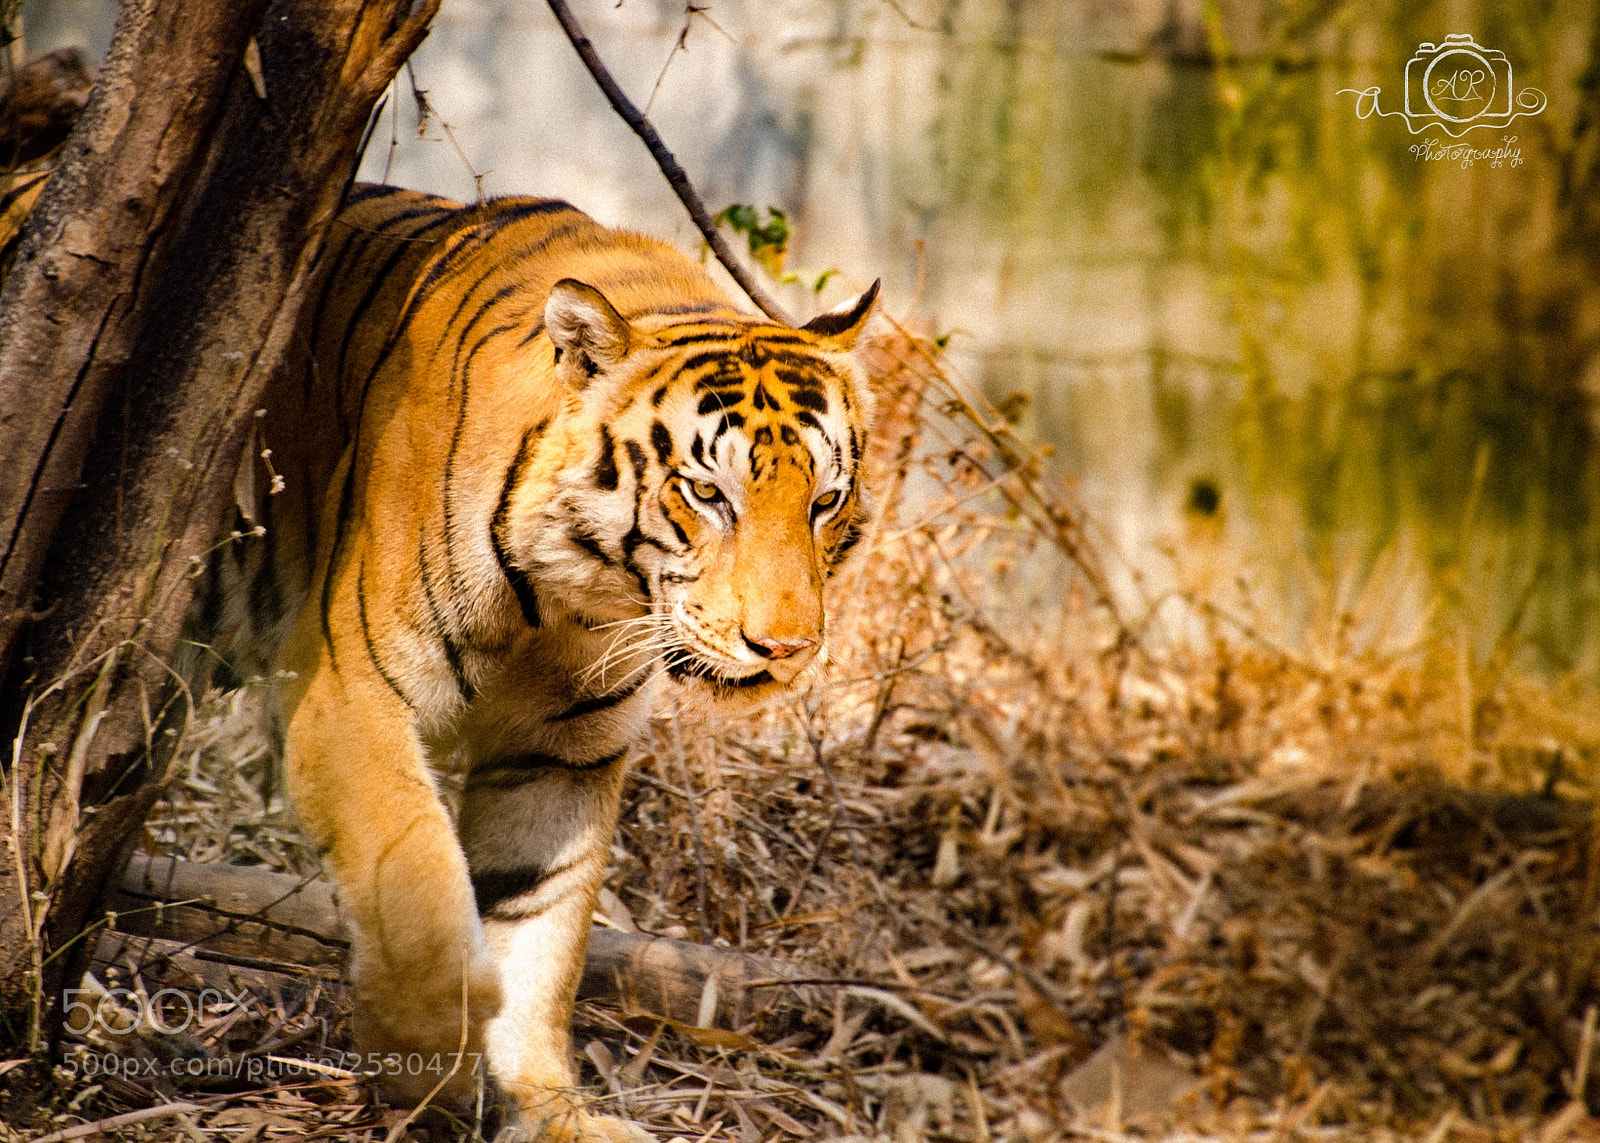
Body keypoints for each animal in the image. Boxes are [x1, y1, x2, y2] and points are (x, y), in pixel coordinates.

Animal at [207, 183, 879, 1140]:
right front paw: (423, 1060)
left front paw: (545, 1106)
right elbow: (416, 879)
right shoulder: (349, 690)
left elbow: (540, 926)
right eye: (707, 492)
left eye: (825, 500)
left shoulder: (563, 757)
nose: (784, 647)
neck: (568, 598)